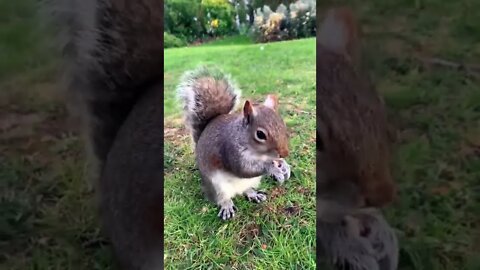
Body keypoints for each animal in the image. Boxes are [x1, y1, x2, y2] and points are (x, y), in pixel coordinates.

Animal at [175, 66, 288, 220]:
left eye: (282, 124)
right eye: (260, 134)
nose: (285, 153)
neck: (258, 153)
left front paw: (284, 166)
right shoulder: (230, 150)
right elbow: (243, 169)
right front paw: (273, 168)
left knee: (246, 190)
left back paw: (254, 194)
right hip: (217, 185)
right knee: (222, 198)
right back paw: (227, 206)